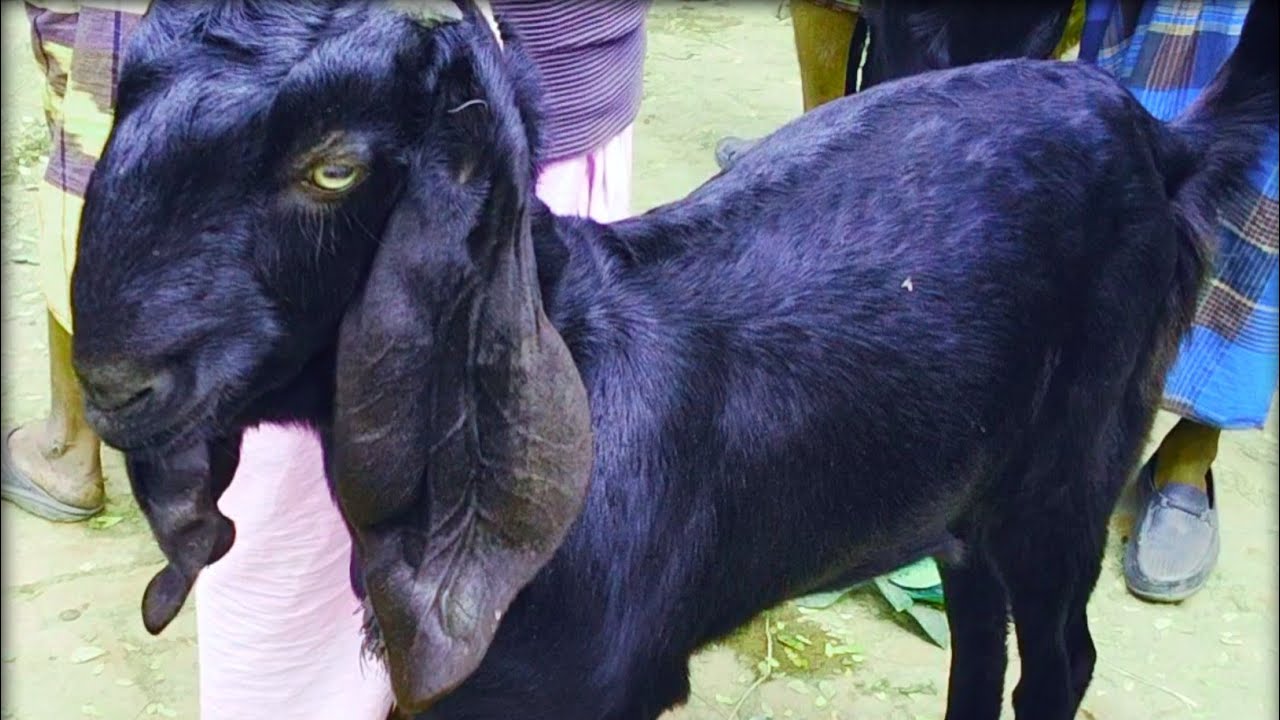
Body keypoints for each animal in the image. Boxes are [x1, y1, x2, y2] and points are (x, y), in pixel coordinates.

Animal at [68, 1, 1277, 718]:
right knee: (978, 621)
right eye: (123, 99)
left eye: (335, 166)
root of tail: (1156, 137)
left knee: (1061, 656)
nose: (116, 382)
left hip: (1070, 469)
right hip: (965, 482)